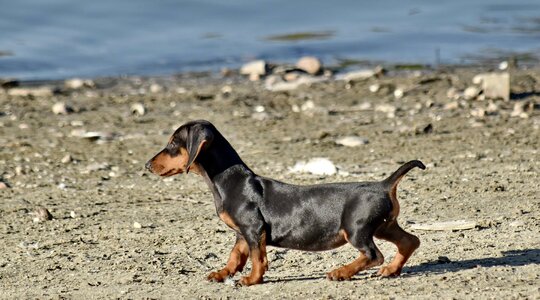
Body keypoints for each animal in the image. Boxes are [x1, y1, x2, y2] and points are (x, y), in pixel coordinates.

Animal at [146, 119, 424, 286]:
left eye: (173, 143)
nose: (147, 165)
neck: (230, 180)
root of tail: (384, 184)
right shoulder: (242, 233)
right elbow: (235, 255)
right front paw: (223, 273)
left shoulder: (253, 229)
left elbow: (258, 258)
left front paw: (251, 279)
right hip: (385, 225)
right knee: (410, 241)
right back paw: (391, 270)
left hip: (356, 229)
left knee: (373, 254)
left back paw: (341, 272)